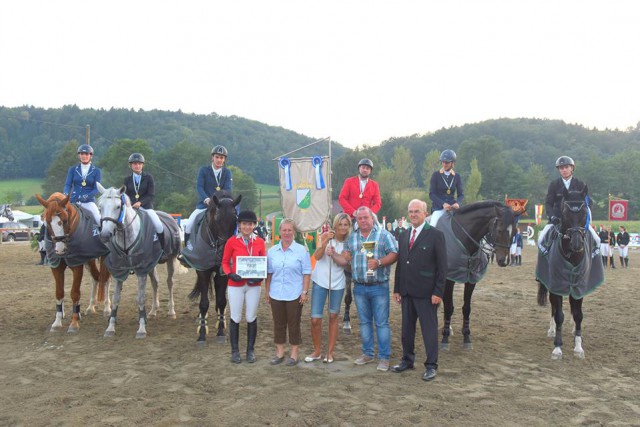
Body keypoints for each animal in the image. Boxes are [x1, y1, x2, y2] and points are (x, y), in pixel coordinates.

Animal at [34, 194, 110, 334]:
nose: (59, 249)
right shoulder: (57, 267)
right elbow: (59, 293)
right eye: (47, 222)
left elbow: (75, 293)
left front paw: (74, 323)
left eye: (64, 220)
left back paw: (107, 308)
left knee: (106, 279)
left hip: (105, 257)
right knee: (96, 278)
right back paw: (91, 307)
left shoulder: (77, 264)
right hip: (89, 260)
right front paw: (57, 322)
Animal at [97, 186, 184, 340]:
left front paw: (142, 328)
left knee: (170, 282)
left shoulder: (141, 270)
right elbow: (116, 298)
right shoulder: (120, 271)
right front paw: (110, 327)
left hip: (171, 260)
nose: (105, 235)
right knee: (155, 282)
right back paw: (153, 311)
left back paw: (171, 311)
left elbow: (141, 298)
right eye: (100, 207)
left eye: (118, 206)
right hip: (151, 264)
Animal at [181, 193, 241, 344]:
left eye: (235, 219)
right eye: (217, 219)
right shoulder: (203, 271)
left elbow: (221, 300)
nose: (224, 252)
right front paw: (202, 334)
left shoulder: (223, 274)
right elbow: (203, 303)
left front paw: (220, 332)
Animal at [432, 201, 516, 352]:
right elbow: (449, 307)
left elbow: (467, 308)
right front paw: (445, 339)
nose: (504, 261)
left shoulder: (471, 280)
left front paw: (466, 337)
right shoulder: (449, 279)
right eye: (500, 230)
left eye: (515, 232)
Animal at [536, 189, 604, 360]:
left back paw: (574, 330)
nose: (577, 243)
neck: (572, 256)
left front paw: (578, 347)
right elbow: (559, 315)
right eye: (565, 213)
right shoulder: (556, 285)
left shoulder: (579, 285)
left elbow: (578, 315)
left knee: (574, 309)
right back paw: (552, 330)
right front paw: (557, 347)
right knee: (553, 308)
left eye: (584, 212)